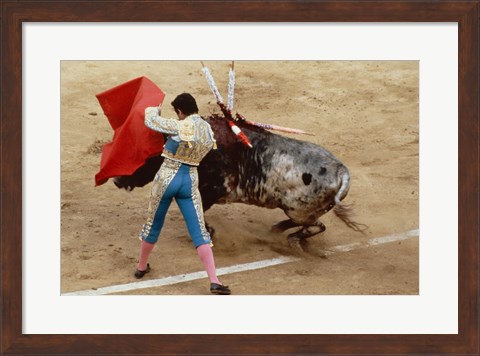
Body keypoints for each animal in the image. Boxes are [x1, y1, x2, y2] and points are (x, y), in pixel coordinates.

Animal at [113, 114, 368, 250]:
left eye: (143, 156)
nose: (116, 179)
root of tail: (342, 171)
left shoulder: (214, 189)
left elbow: (198, 211)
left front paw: (209, 231)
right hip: (300, 210)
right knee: (311, 225)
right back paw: (278, 229)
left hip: (299, 210)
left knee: (316, 226)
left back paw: (290, 238)